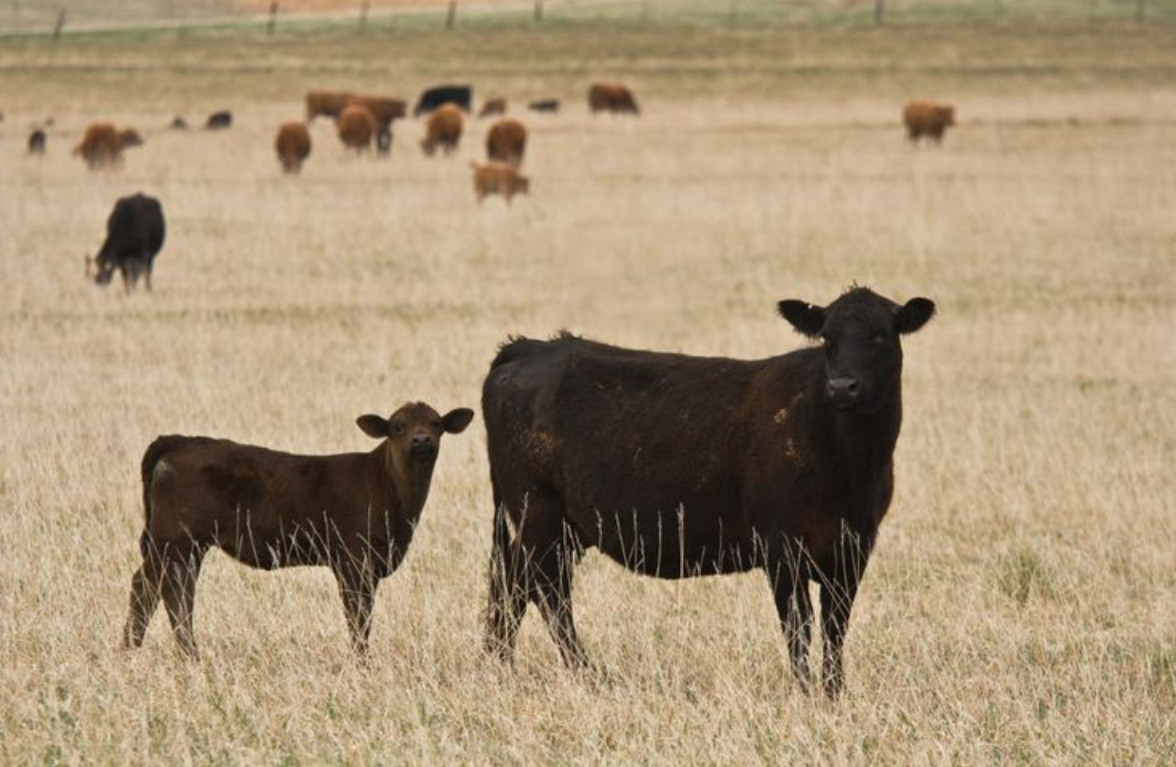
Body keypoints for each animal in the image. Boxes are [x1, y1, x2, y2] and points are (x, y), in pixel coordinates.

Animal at [122, 402, 474, 657]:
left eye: (437, 424)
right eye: (398, 426)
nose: (421, 440)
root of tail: (183, 441)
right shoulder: (354, 561)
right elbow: (359, 617)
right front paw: (361, 663)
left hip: (185, 545)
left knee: (170, 589)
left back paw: (165, 653)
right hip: (175, 539)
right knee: (153, 587)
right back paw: (151, 653)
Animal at [481, 286, 936, 697]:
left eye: (881, 334)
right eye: (827, 337)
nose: (843, 387)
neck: (850, 463)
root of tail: (530, 348)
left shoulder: (853, 547)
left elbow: (835, 625)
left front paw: (835, 691)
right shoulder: (781, 547)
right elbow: (799, 625)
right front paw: (806, 692)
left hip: (560, 526)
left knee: (514, 584)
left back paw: (500, 665)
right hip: (539, 514)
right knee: (546, 592)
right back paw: (583, 674)